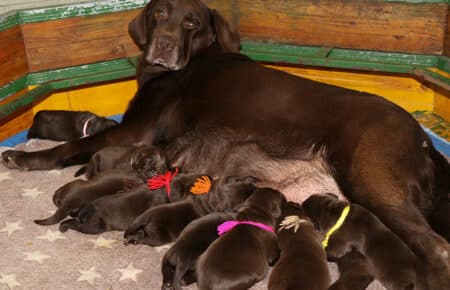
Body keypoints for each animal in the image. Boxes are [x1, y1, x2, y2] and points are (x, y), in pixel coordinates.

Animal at [123, 176, 256, 246]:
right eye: (245, 197)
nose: (253, 185)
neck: (211, 198)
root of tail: (146, 216)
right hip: (157, 236)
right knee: (145, 239)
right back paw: (134, 240)